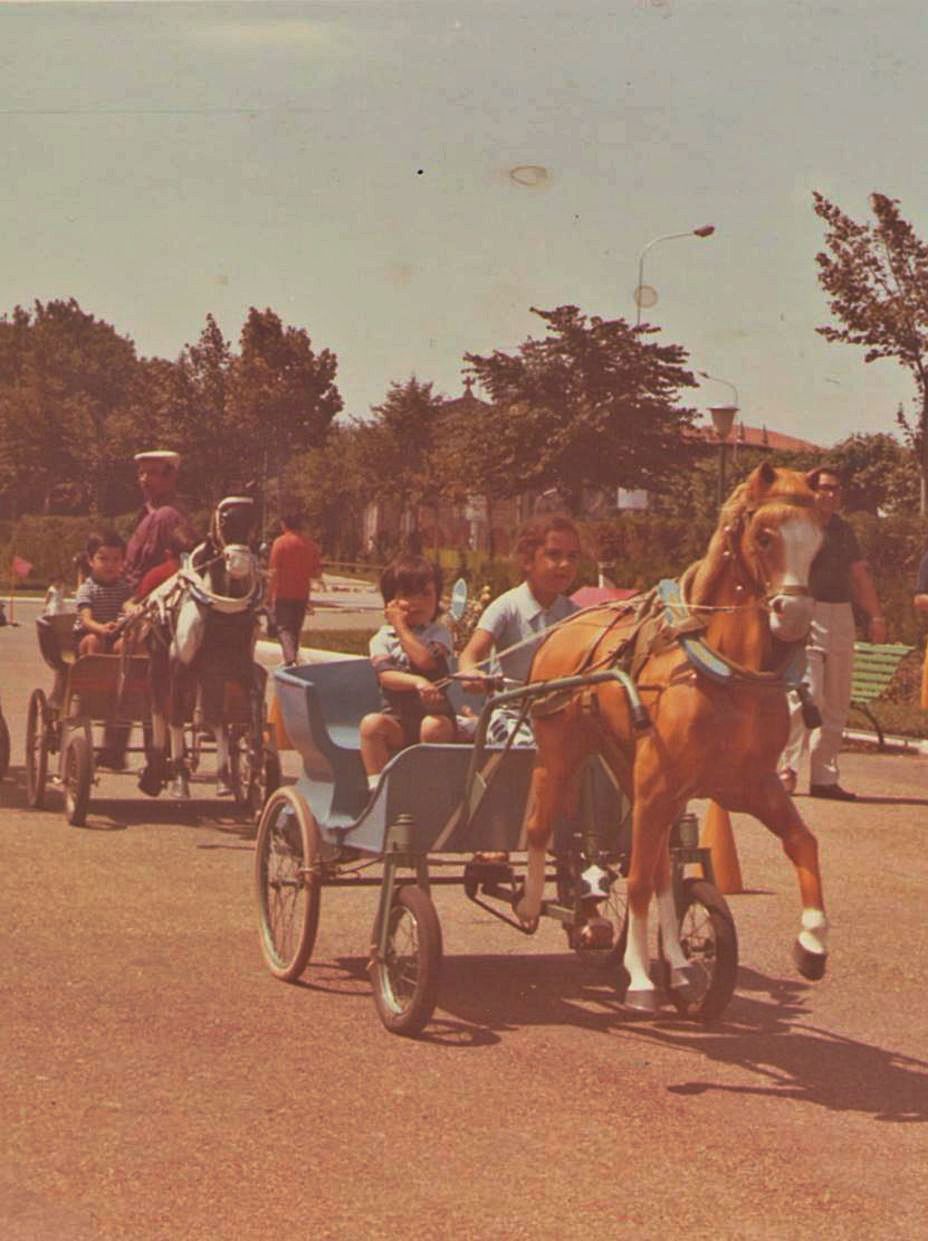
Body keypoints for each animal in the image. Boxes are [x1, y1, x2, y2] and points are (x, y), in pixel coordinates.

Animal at [135, 498, 263, 799]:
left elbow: (250, 703)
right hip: (160, 666)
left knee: (215, 718)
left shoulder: (236, 668)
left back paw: (224, 778)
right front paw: (179, 777)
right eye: (224, 519)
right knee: (159, 708)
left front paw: (253, 756)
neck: (222, 610)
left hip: (209, 676)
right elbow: (175, 716)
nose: (239, 563)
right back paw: (157, 768)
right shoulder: (179, 665)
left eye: (254, 518)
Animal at [518, 464, 828, 1007]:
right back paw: (534, 906)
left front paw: (811, 945)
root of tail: (563, 627)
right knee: (540, 825)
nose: (793, 616)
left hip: (630, 769)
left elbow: (802, 844)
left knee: (663, 864)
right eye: (765, 536)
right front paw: (641, 977)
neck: (723, 674)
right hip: (562, 753)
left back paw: (681, 967)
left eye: (817, 538)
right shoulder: (659, 783)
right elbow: (639, 879)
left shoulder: (748, 785)